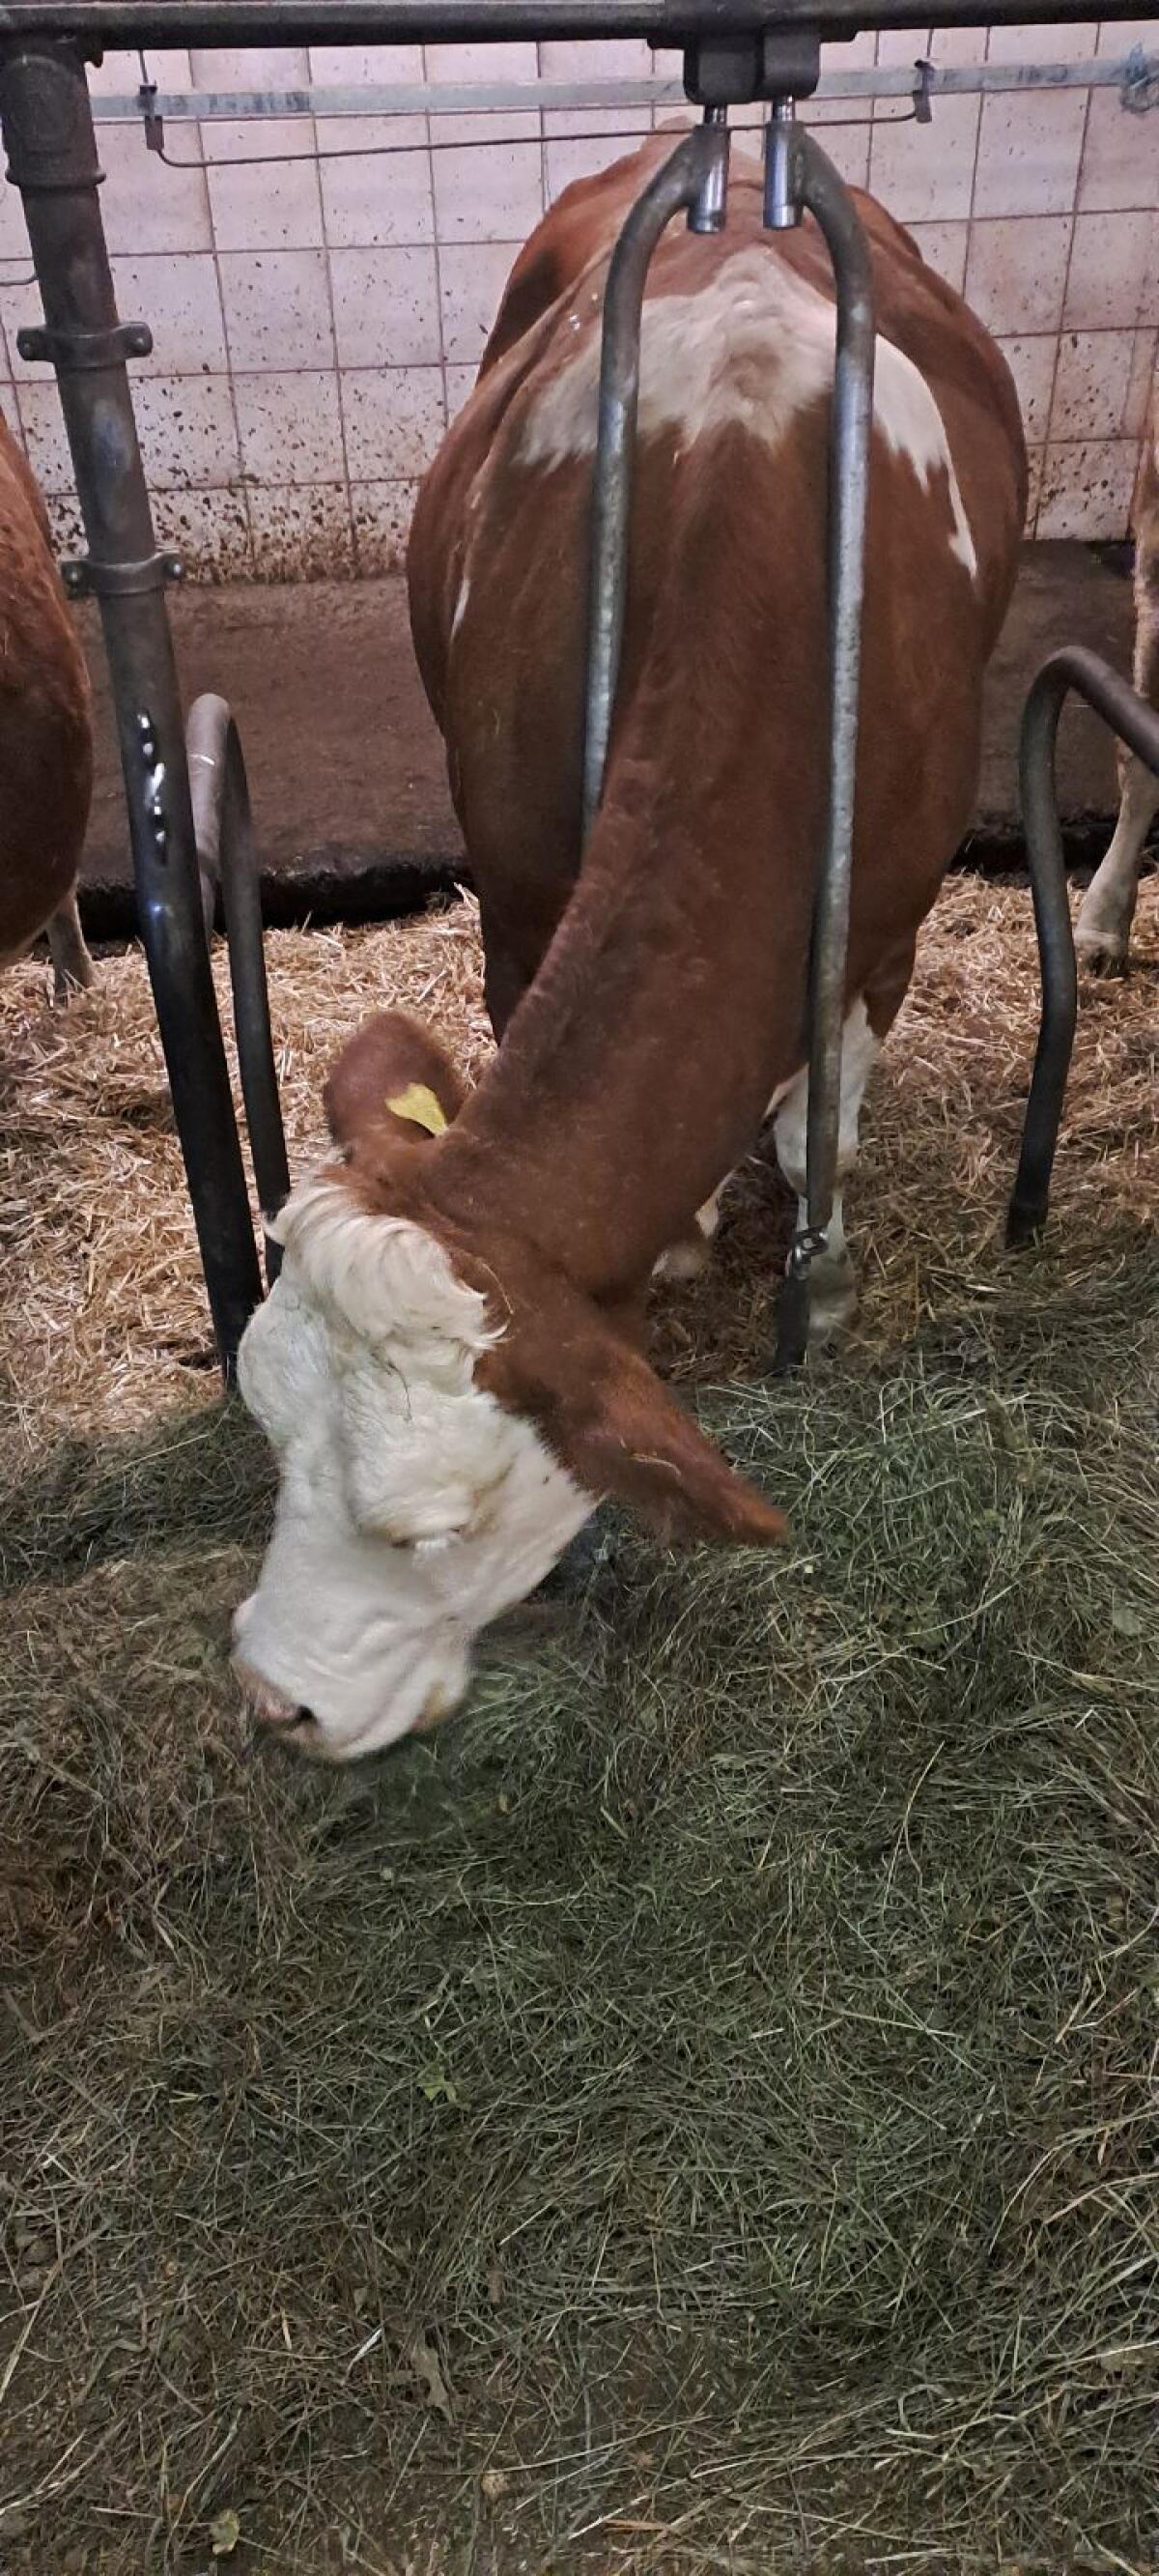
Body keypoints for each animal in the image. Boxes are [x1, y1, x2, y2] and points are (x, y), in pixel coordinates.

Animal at [232, 132, 1026, 1764]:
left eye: (429, 1525)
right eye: (263, 1421)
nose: (272, 1699)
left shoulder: (891, 917)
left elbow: (823, 1107)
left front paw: (817, 1261)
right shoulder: (520, 890)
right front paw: (676, 1233)